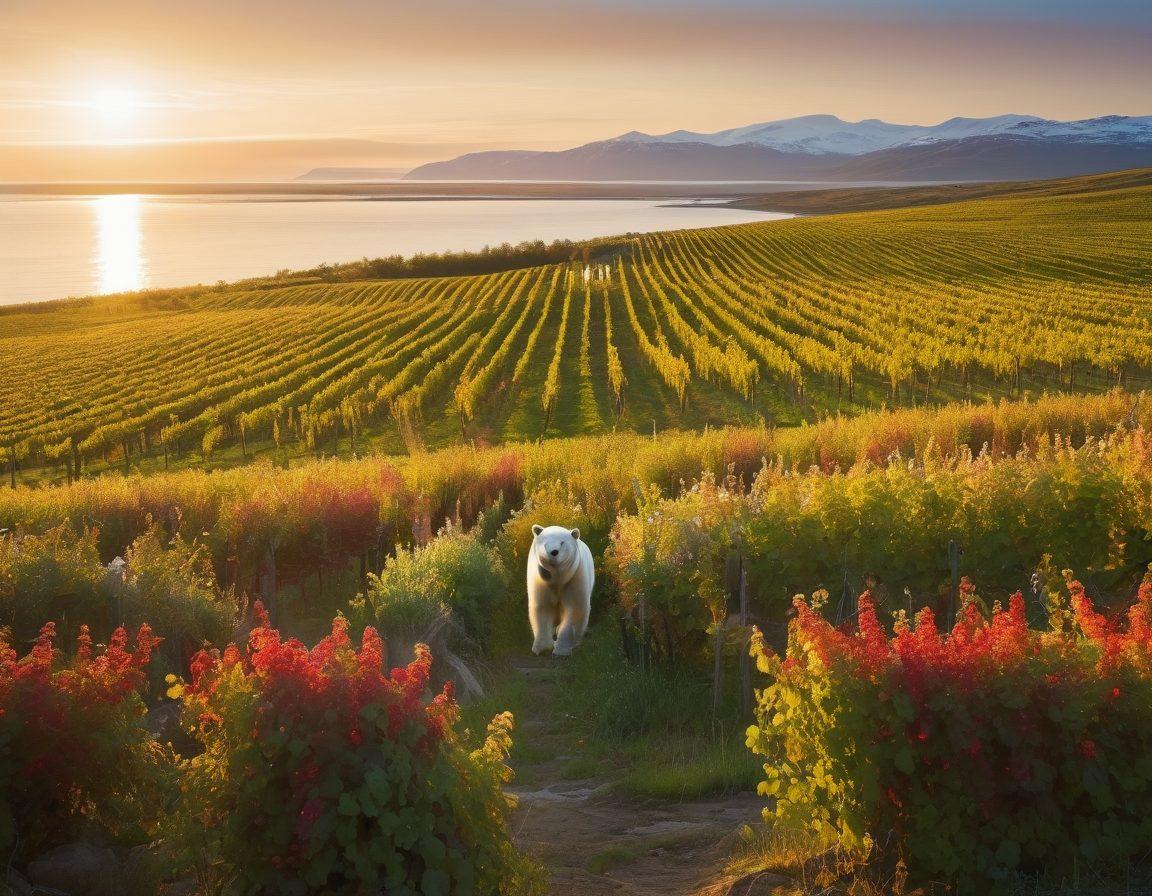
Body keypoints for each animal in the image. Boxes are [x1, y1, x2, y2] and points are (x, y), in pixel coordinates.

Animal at [527, 524, 594, 656]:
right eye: (545, 543)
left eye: (562, 543)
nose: (553, 552)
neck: (557, 578)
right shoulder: (540, 580)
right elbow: (543, 607)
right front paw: (542, 648)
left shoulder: (575, 576)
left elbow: (575, 609)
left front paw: (561, 650)